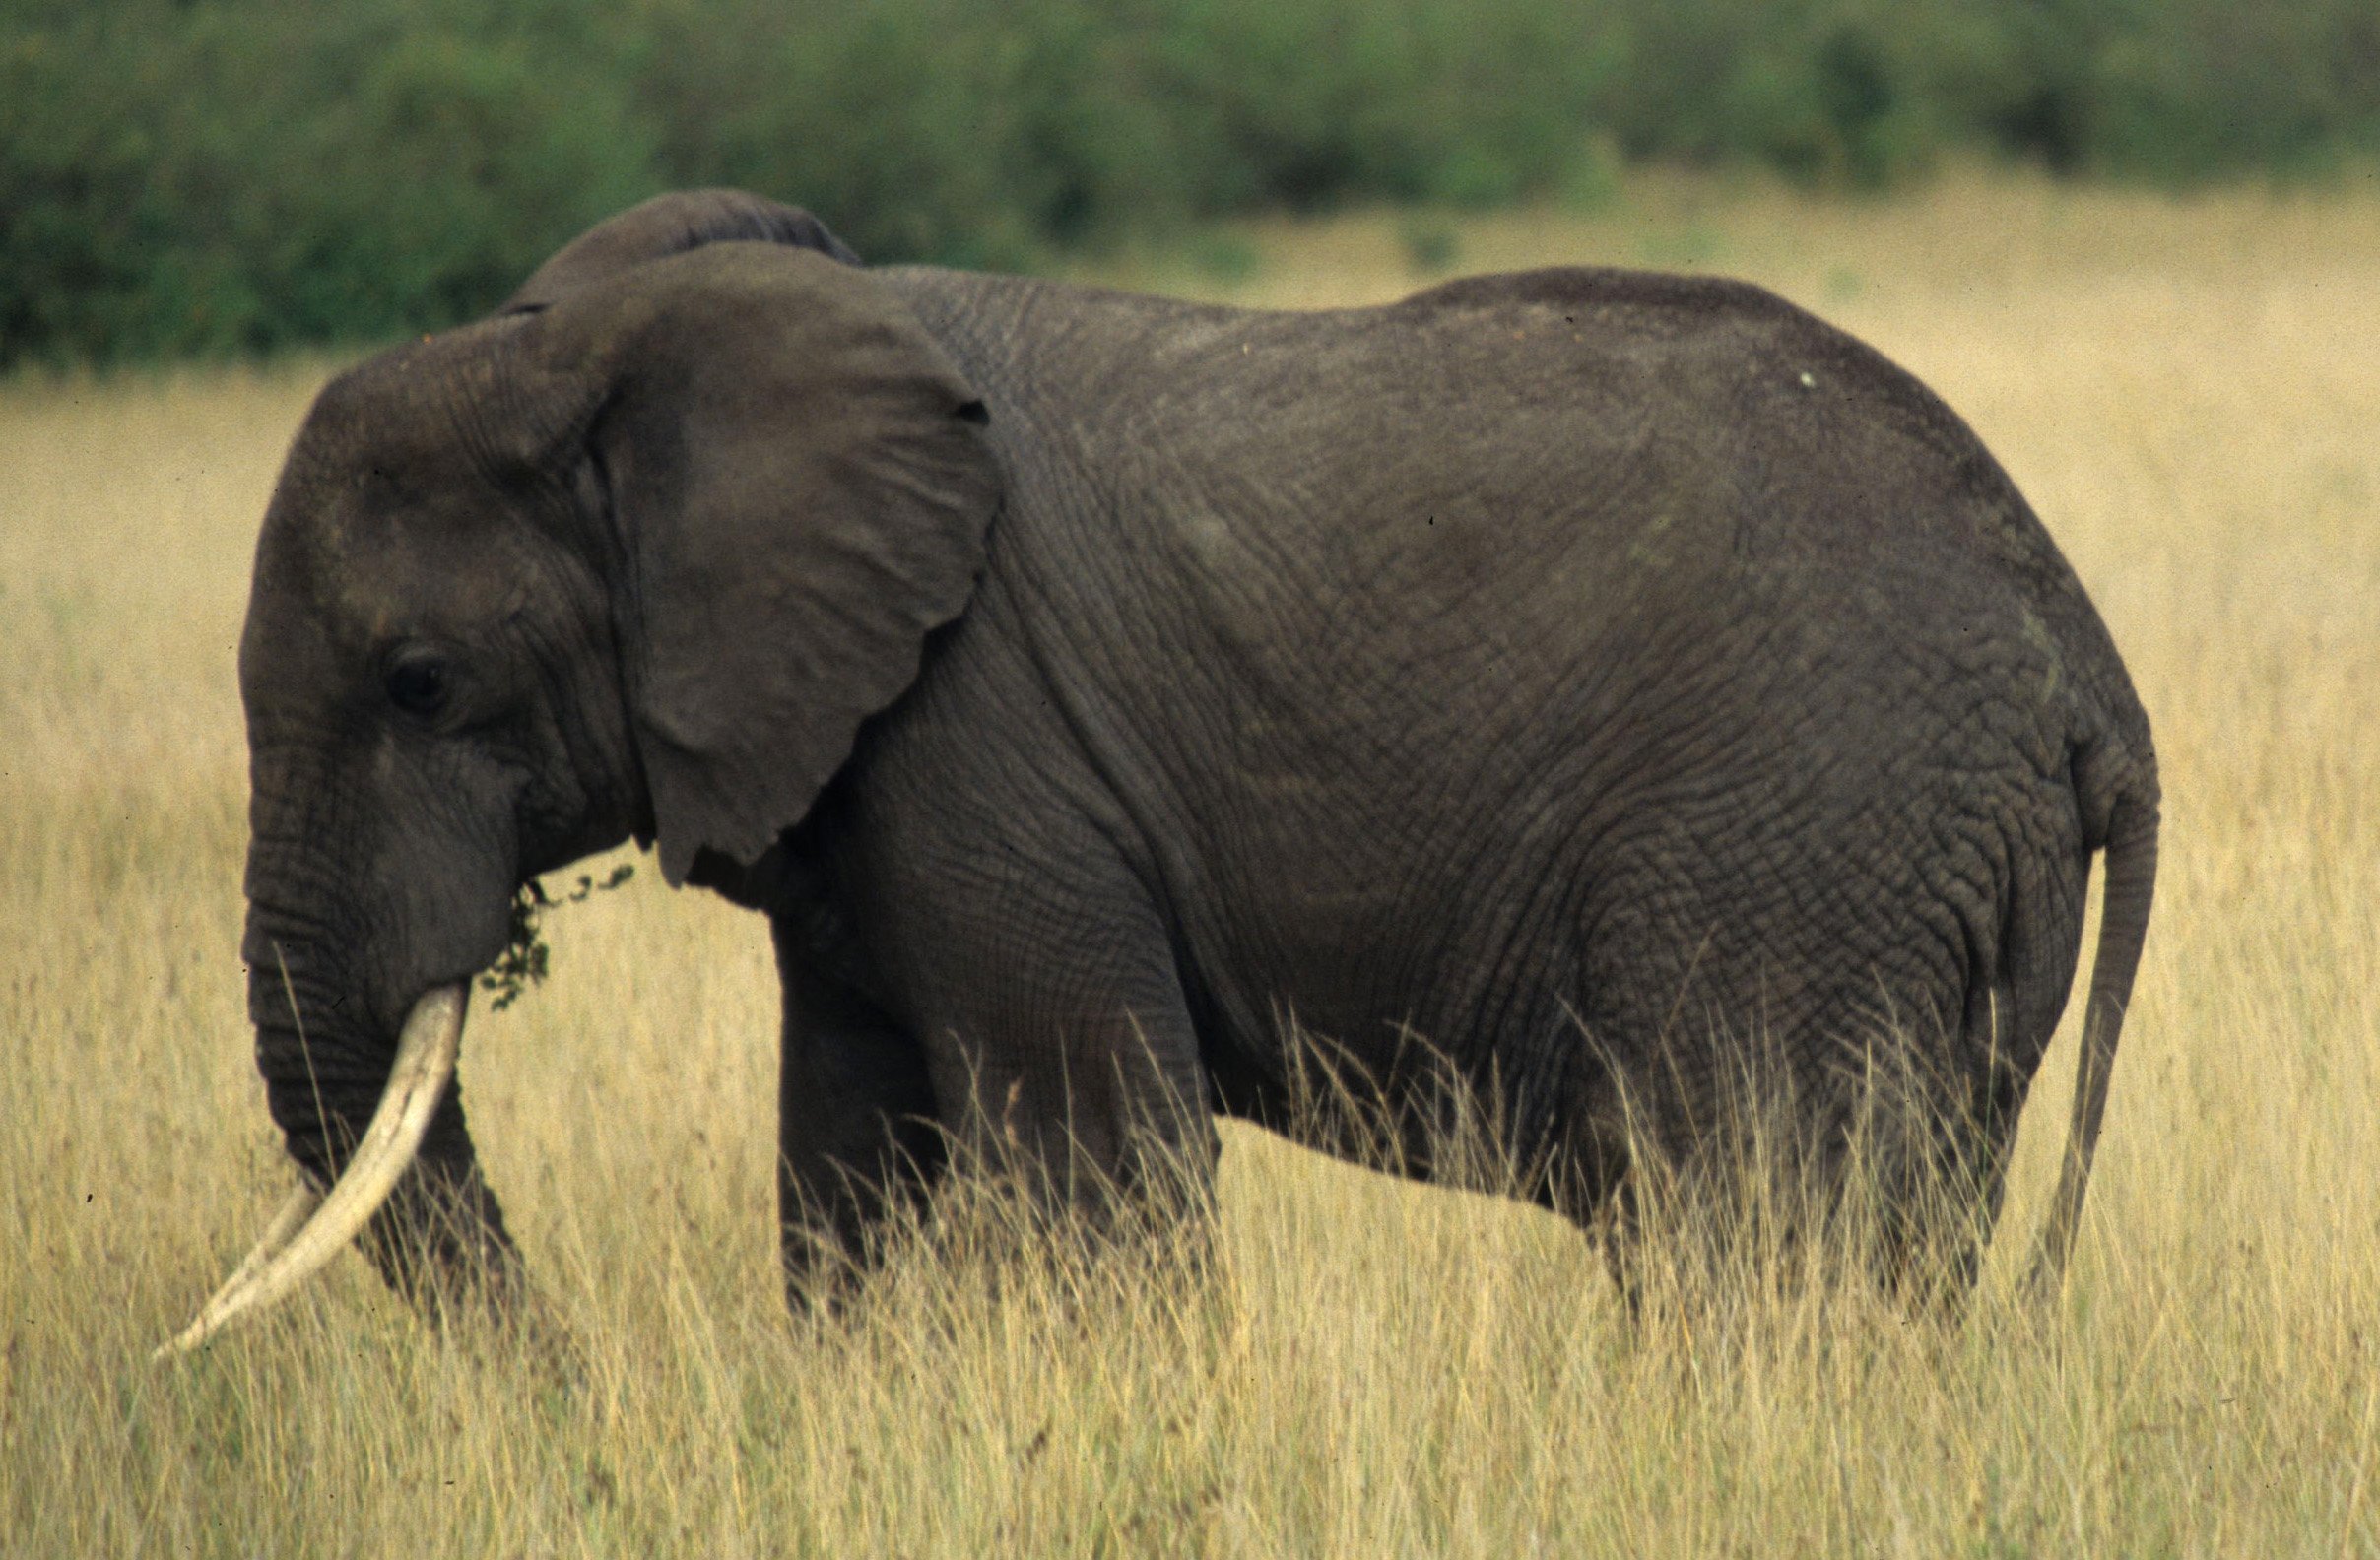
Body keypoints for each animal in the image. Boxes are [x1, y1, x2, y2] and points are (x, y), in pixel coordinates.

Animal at [163, 189, 2158, 1352]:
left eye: (420, 683)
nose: (573, 1384)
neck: (602, 348)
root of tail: (2085, 652)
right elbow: (852, 1143)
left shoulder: (983, 736)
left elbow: (1090, 1154)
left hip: (1795, 847)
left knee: (1738, 1218)